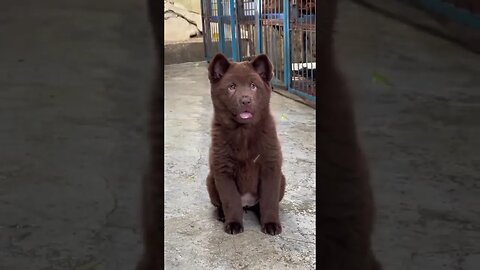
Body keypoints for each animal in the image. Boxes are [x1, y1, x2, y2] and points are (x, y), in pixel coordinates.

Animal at [205, 53, 284, 235]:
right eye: (231, 87)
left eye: (253, 86)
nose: (246, 100)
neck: (243, 132)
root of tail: (247, 204)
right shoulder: (223, 170)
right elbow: (230, 200)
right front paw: (233, 223)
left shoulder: (271, 166)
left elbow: (269, 199)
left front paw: (270, 223)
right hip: (210, 180)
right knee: (222, 204)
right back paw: (222, 215)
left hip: (282, 180)